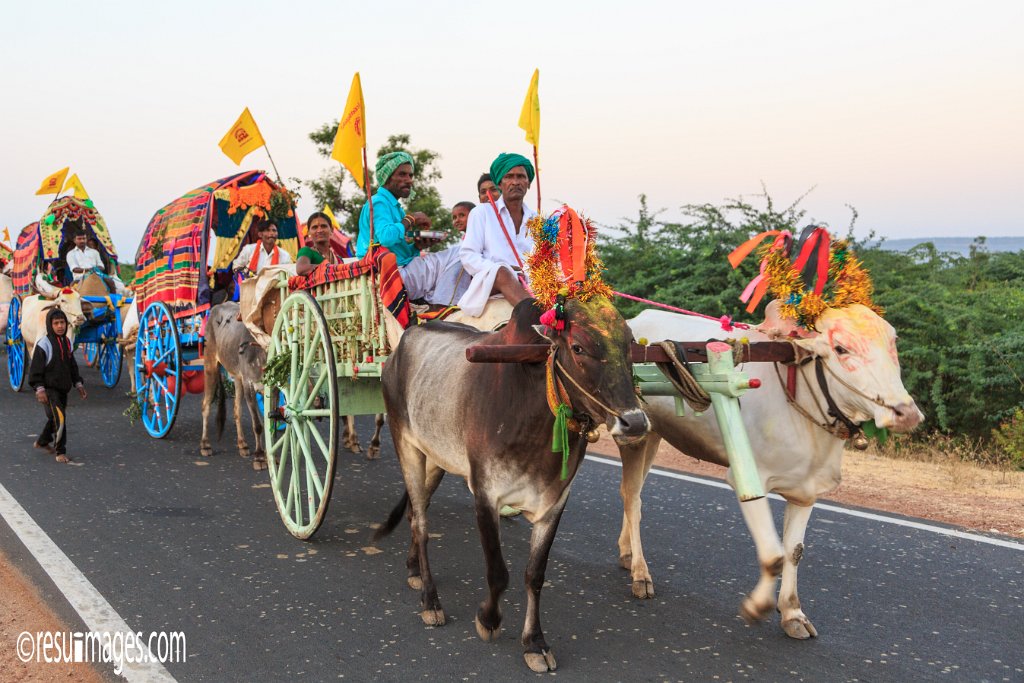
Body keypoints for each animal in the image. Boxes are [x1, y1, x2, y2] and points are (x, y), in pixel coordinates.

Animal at [618, 301, 925, 638]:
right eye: (841, 348)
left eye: (893, 342)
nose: (907, 414)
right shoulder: (750, 479)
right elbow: (774, 556)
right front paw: (757, 606)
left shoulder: (806, 490)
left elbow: (794, 552)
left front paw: (792, 613)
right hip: (634, 434)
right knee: (632, 497)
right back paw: (640, 573)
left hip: (654, 435)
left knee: (636, 493)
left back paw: (627, 553)